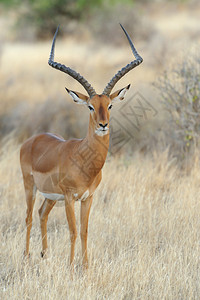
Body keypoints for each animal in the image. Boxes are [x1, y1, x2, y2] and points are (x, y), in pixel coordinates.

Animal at [20, 23, 142, 268]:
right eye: (90, 106)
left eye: (110, 105)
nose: (103, 125)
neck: (84, 159)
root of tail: (32, 140)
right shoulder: (69, 198)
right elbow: (73, 231)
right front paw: (70, 267)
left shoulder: (88, 197)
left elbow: (85, 231)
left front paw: (85, 267)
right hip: (31, 187)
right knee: (28, 217)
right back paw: (27, 257)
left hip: (50, 196)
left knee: (41, 214)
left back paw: (45, 255)